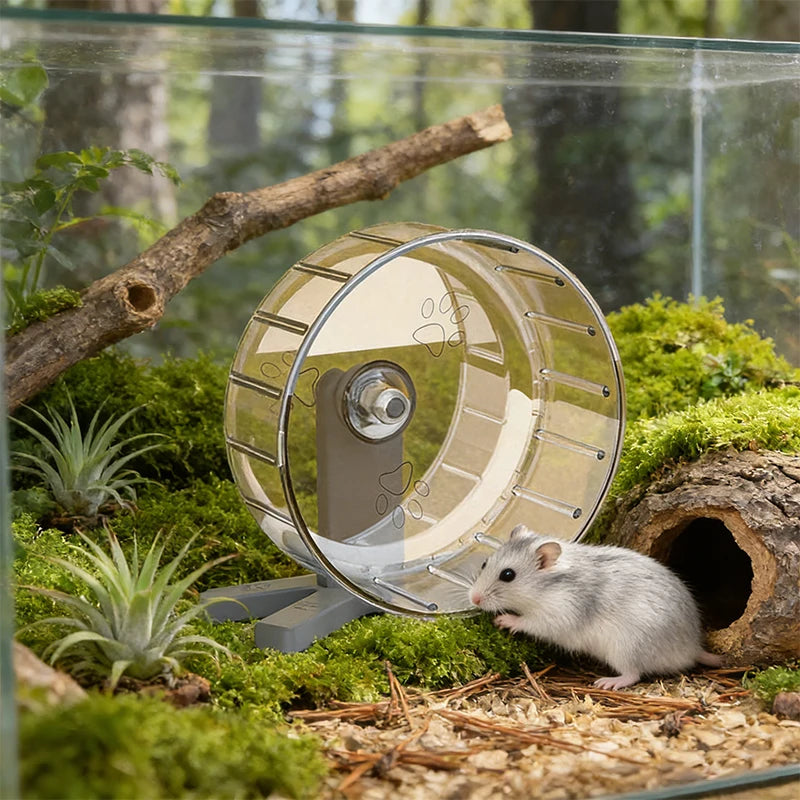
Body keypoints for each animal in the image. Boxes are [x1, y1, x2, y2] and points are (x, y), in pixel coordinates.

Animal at [469, 525, 721, 690]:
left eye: (508, 575)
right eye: (484, 564)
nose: (473, 599)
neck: (545, 588)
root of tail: (692, 648)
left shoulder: (558, 614)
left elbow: (527, 622)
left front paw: (503, 621)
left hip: (625, 649)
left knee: (634, 674)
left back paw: (607, 683)